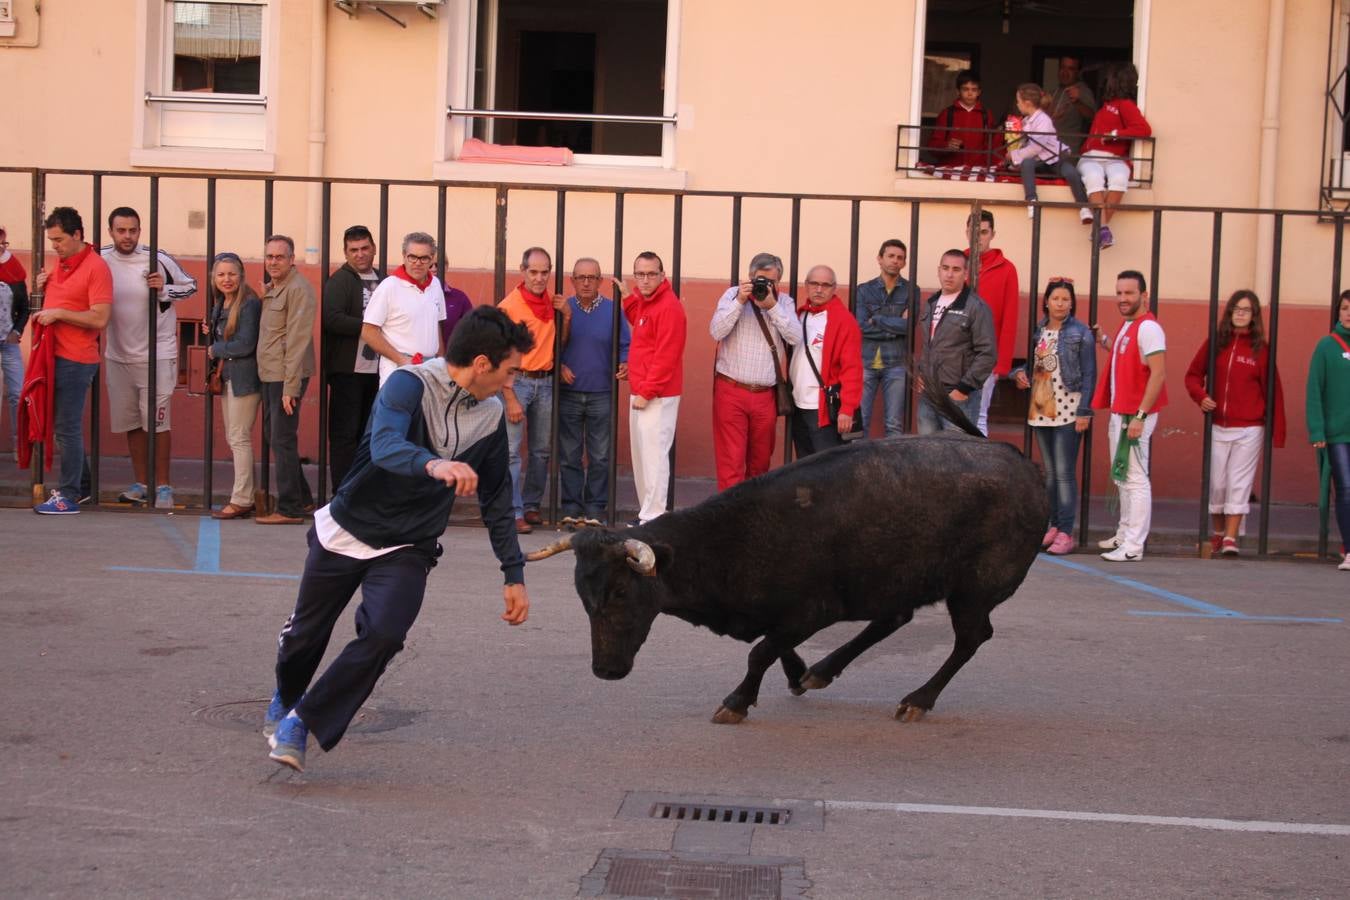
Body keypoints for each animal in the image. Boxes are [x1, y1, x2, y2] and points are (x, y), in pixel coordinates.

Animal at [523, 429, 1042, 723]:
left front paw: (736, 702)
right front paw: (797, 674)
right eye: (584, 599)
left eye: (619, 593)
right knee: (893, 621)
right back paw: (821, 672)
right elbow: (774, 644)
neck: (731, 540)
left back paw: (918, 699)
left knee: (970, 638)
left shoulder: (812, 610)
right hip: (896, 578)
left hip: (972, 590)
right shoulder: (785, 614)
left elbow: (759, 652)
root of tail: (1022, 461)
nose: (605, 671)